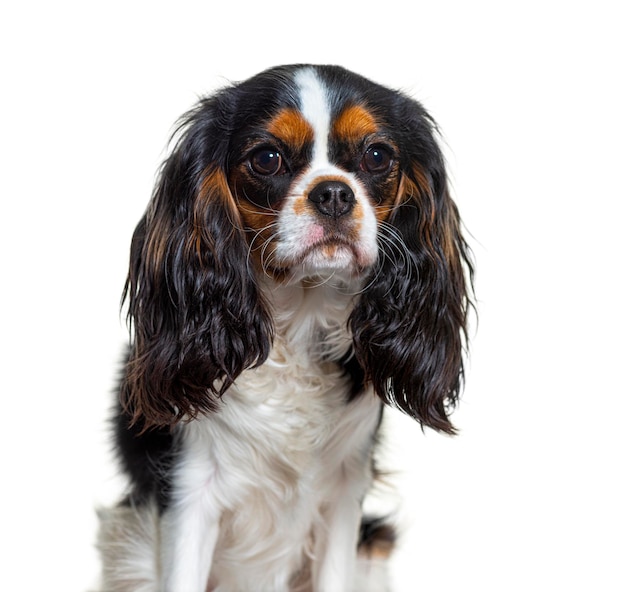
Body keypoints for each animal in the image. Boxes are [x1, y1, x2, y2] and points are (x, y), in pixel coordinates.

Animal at [96, 65, 468, 592]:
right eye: (267, 158)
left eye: (377, 155)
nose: (333, 192)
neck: (299, 324)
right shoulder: (189, 495)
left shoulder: (344, 495)